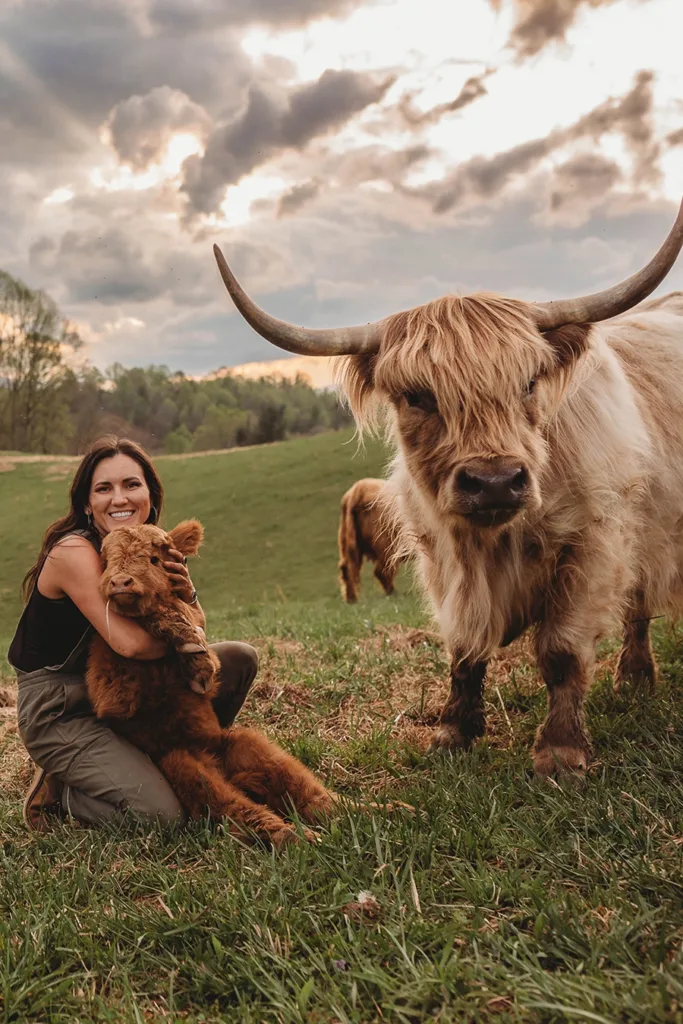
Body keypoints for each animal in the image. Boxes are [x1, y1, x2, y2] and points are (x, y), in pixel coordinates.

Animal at [85, 519, 335, 846]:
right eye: (106, 562)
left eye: (154, 559)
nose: (119, 582)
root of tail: (221, 767)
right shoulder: (111, 691)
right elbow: (154, 619)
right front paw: (186, 641)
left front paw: (196, 655)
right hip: (186, 767)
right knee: (243, 811)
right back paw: (300, 836)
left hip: (248, 745)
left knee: (308, 793)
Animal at [212, 197, 683, 777]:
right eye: (418, 396)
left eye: (529, 382)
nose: (496, 482)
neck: (495, 544)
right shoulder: (442, 558)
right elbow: (462, 648)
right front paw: (453, 732)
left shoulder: (593, 546)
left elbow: (561, 650)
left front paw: (559, 751)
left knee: (638, 604)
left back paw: (634, 679)